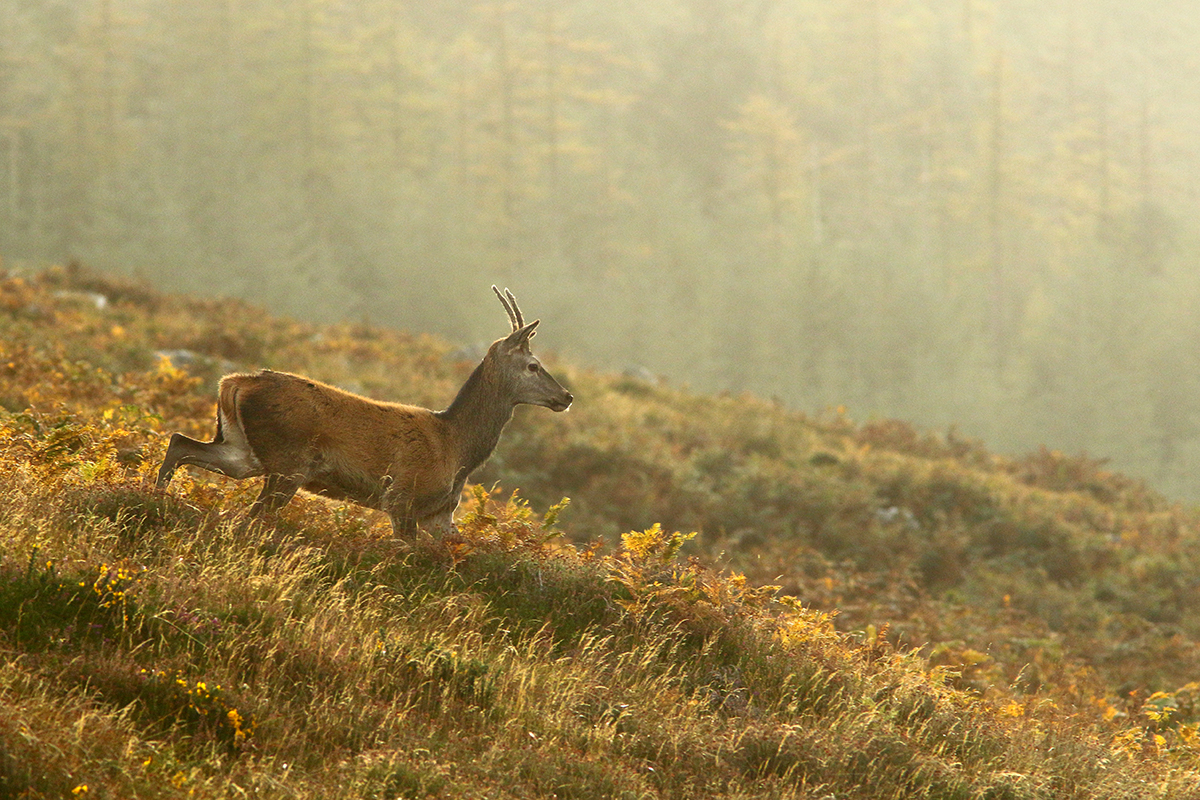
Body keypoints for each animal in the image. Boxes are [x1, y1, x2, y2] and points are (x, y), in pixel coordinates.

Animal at [154, 287, 576, 537]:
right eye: (533, 365)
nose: (567, 396)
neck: (457, 449)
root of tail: (235, 383)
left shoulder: (440, 514)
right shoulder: (403, 498)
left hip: (243, 451)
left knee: (179, 441)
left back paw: (153, 499)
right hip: (286, 462)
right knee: (248, 515)